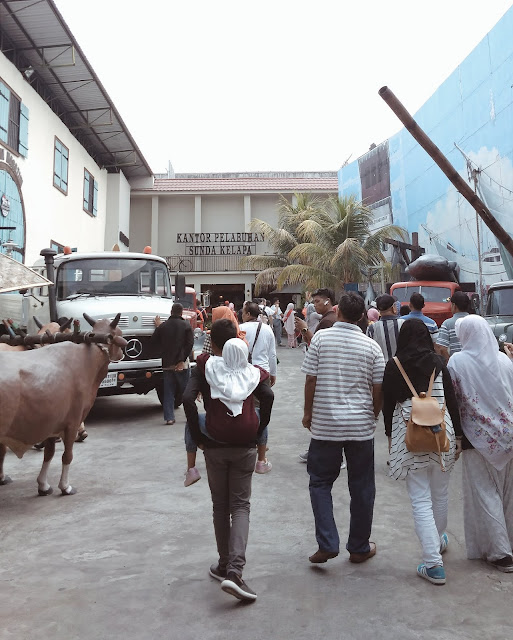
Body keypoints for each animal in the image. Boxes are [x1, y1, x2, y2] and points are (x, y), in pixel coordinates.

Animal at [0, 314, 126, 496]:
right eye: (118, 333)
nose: (123, 352)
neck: (88, 359)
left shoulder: (53, 423)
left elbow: (49, 453)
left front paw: (43, 485)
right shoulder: (72, 422)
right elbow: (67, 455)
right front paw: (65, 487)